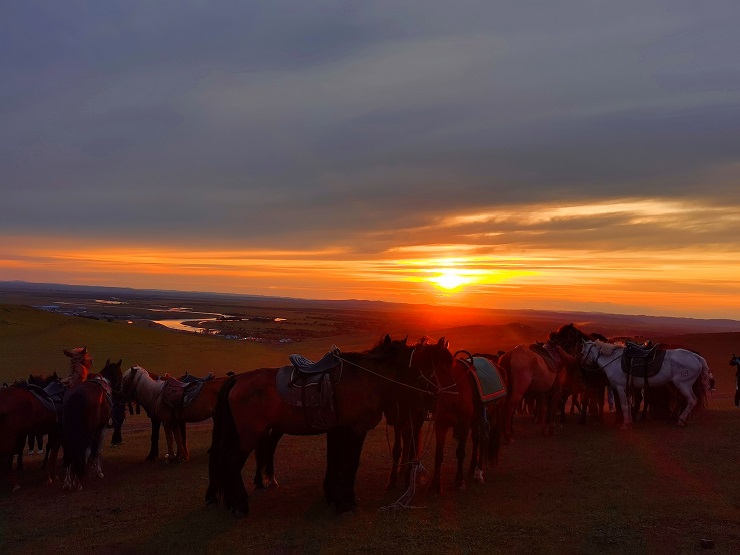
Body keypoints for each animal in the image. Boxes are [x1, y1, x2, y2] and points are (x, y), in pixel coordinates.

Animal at [61, 358, 122, 494]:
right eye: (120, 374)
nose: (120, 390)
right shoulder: (102, 429)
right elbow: (97, 450)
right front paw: (98, 472)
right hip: (87, 433)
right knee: (82, 451)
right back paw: (78, 482)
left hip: (68, 432)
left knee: (69, 452)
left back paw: (68, 482)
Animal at [205, 336, 454, 520]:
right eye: (441, 366)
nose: (446, 396)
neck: (368, 379)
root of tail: (237, 380)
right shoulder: (356, 429)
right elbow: (350, 464)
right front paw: (346, 504)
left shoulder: (338, 429)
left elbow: (336, 461)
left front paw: (337, 497)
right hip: (250, 435)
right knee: (231, 462)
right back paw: (240, 505)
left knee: (225, 460)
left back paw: (229, 501)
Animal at [580, 338, 712, 430]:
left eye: (582, 352)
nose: (582, 368)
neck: (613, 360)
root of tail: (696, 357)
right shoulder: (627, 388)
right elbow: (628, 405)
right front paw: (629, 422)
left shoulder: (620, 387)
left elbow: (624, 405)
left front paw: (625, 425)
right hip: (674, 384)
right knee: (681, 399)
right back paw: (678, 419)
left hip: (684, 385)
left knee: (692, 400)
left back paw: (681, 420)